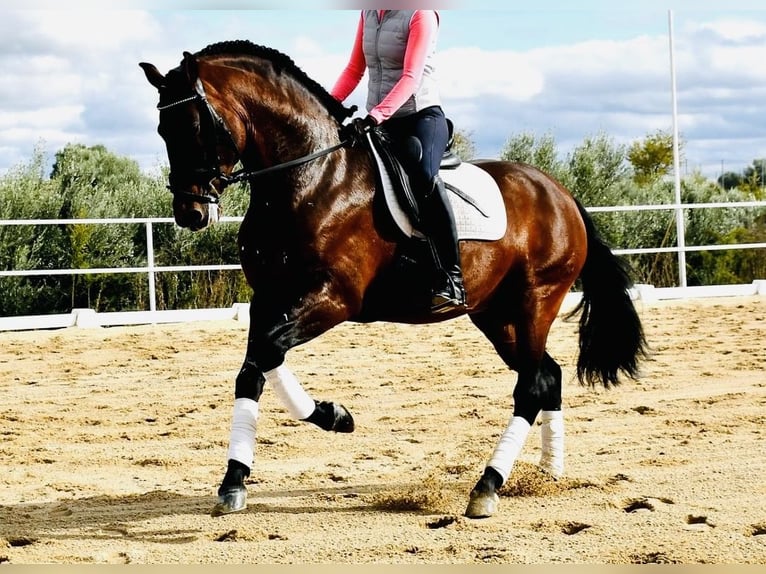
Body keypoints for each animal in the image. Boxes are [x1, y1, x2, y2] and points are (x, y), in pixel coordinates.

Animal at [139, 40, 646, 519]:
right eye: (163, 130)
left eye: (196, 127)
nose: (190, 213)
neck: (310, 177)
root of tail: (561, 193)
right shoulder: (268, 298)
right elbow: (256, 364)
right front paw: (242, 475)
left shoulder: (333, 299)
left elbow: (265, 353)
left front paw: (332, 417)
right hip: (494, 313)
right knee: (547, 375)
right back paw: (548, 471)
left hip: (535, 301)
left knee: (533, 386)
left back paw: (487, 487)